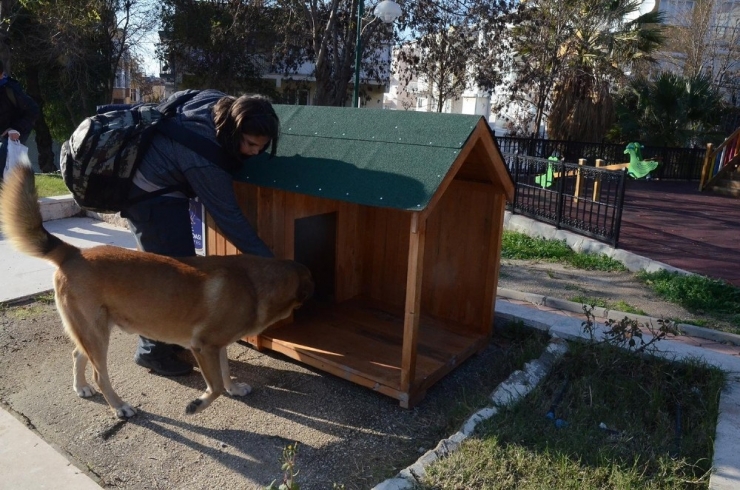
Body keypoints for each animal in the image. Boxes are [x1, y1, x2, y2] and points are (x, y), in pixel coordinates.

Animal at [0, 161, 312, 418]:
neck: (253, 282)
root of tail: (73, 252)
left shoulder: (218, 346)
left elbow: (225, 373)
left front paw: (233, 388)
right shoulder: (204, 347)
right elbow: (214, 387)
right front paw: (198, 404)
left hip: (92, 331)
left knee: (77, 354)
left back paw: (81, 387)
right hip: (97, 333)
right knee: (100, 374)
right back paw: (119, 406)